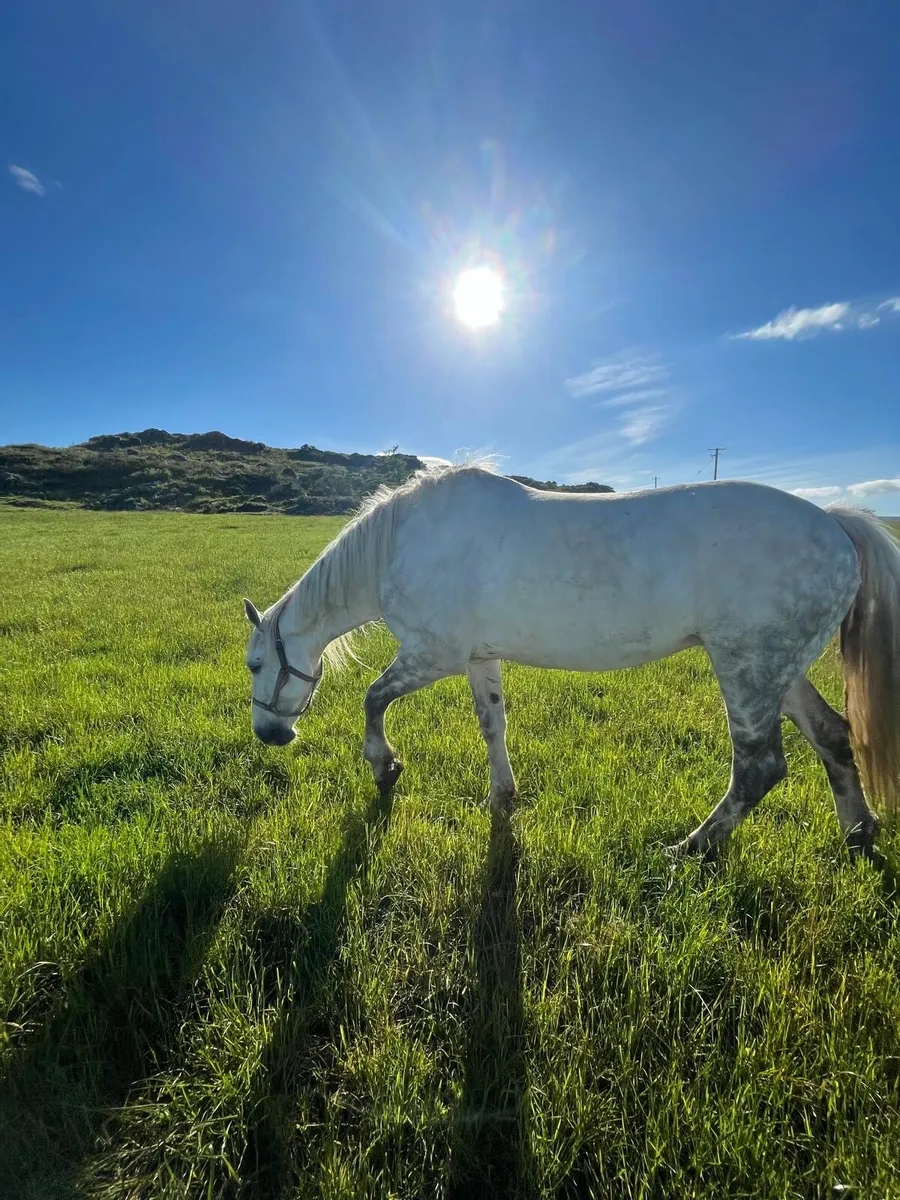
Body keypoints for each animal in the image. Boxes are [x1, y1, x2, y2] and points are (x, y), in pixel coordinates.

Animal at [243, 464, 900, 860]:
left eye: (253, 666)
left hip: (746, 666)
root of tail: (835, 523)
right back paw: (858, 836)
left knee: (759, 767)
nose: (269, 735)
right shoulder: (478, 657)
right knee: (833, 736)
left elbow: (373, 698)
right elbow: (493, 724)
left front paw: (385, 767)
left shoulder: (433, 655)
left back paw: (691, 849)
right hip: (780, 671)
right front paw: (503, 797)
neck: (402, 543)